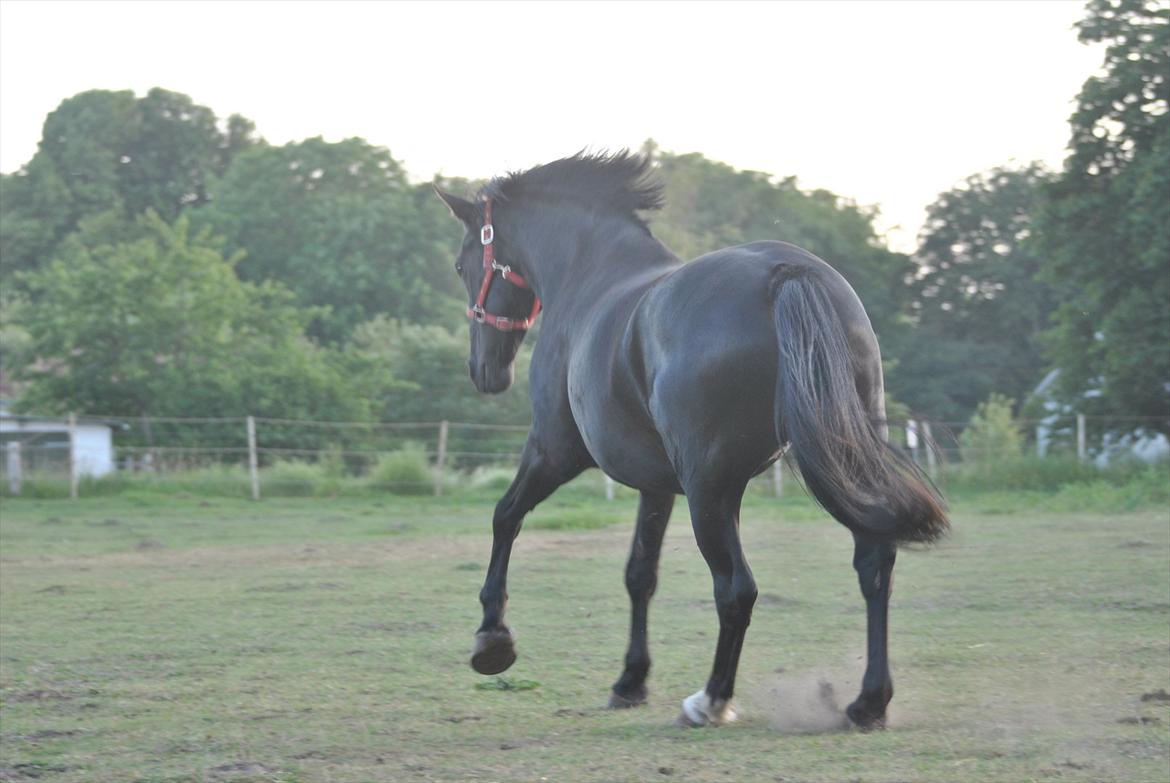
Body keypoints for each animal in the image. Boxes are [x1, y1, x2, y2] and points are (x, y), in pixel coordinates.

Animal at [435, 150, 945, 725]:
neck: (591, 275)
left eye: (461, 266)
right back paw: (868, 701)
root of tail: (786, 274)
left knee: (737, 588)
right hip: (831, 466)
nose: (483, 370)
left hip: (710, 491)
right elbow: (640, 573)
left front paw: (492, 638)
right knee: (874, 564)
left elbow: (506, 516)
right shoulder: (655, 485)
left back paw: (712, 699)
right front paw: (630, 679)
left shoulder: (554, 451)